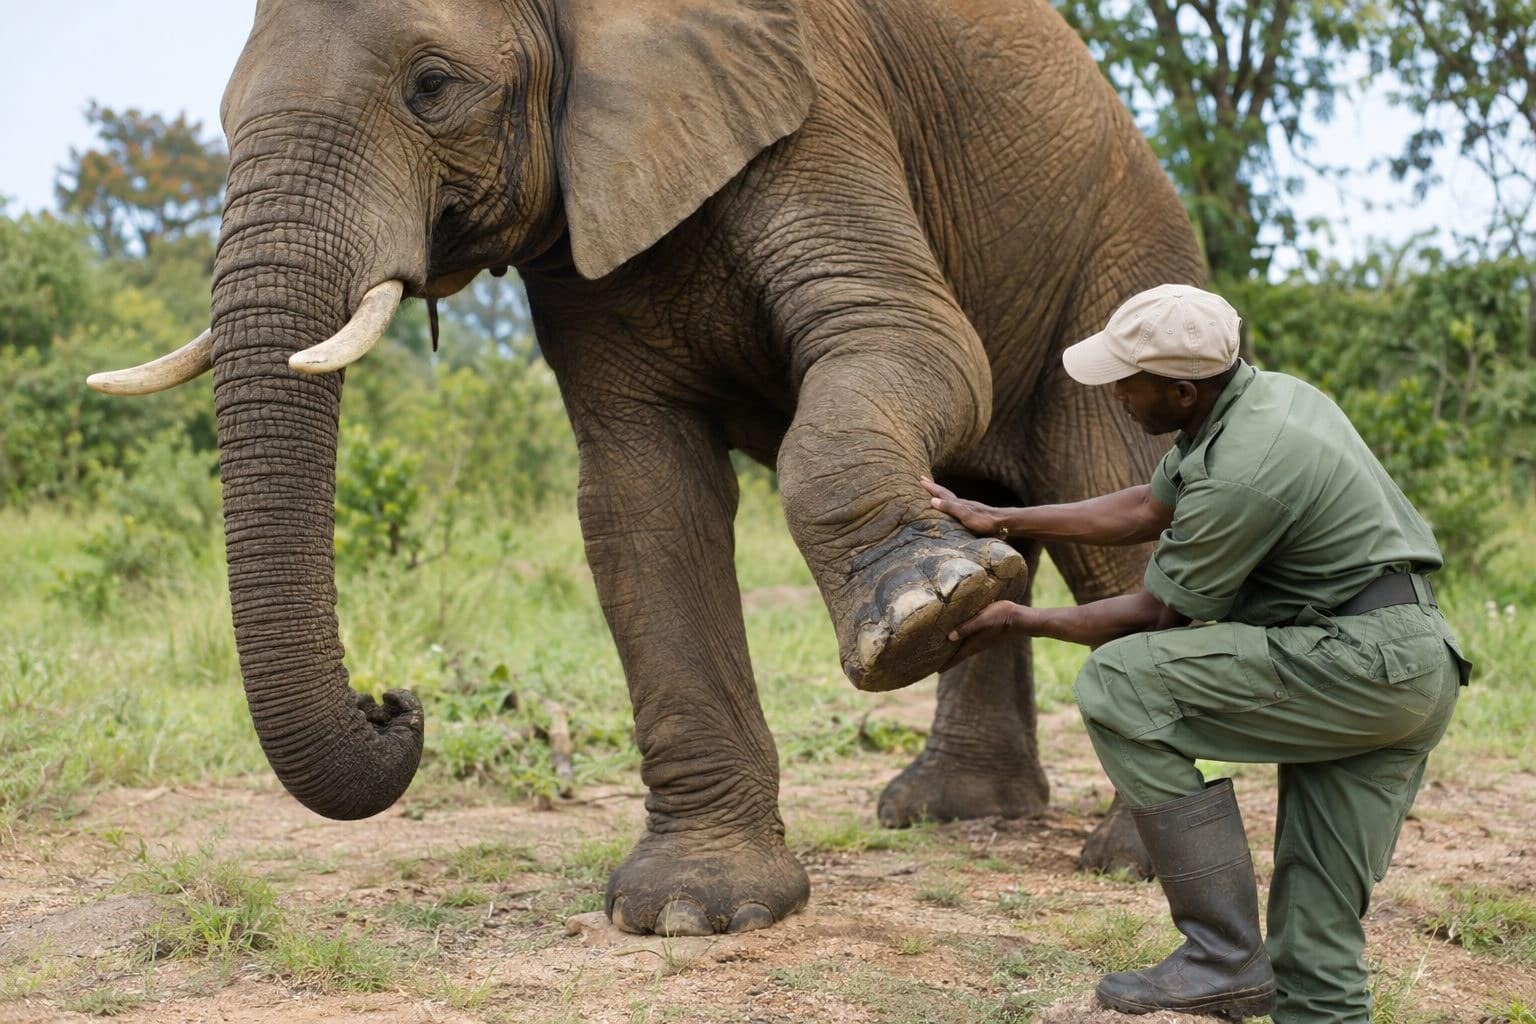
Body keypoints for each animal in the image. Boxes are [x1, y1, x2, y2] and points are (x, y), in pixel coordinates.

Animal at [91, 0, 1203, 936]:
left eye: (432, 85)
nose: (392, 703)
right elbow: (640, 493)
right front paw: (693, 911)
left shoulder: (818, 97)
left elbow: (908, 338)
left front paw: (921, 615)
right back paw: (947, 809)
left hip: (1119, 252)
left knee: (1097, 492)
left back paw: (1128, 862)